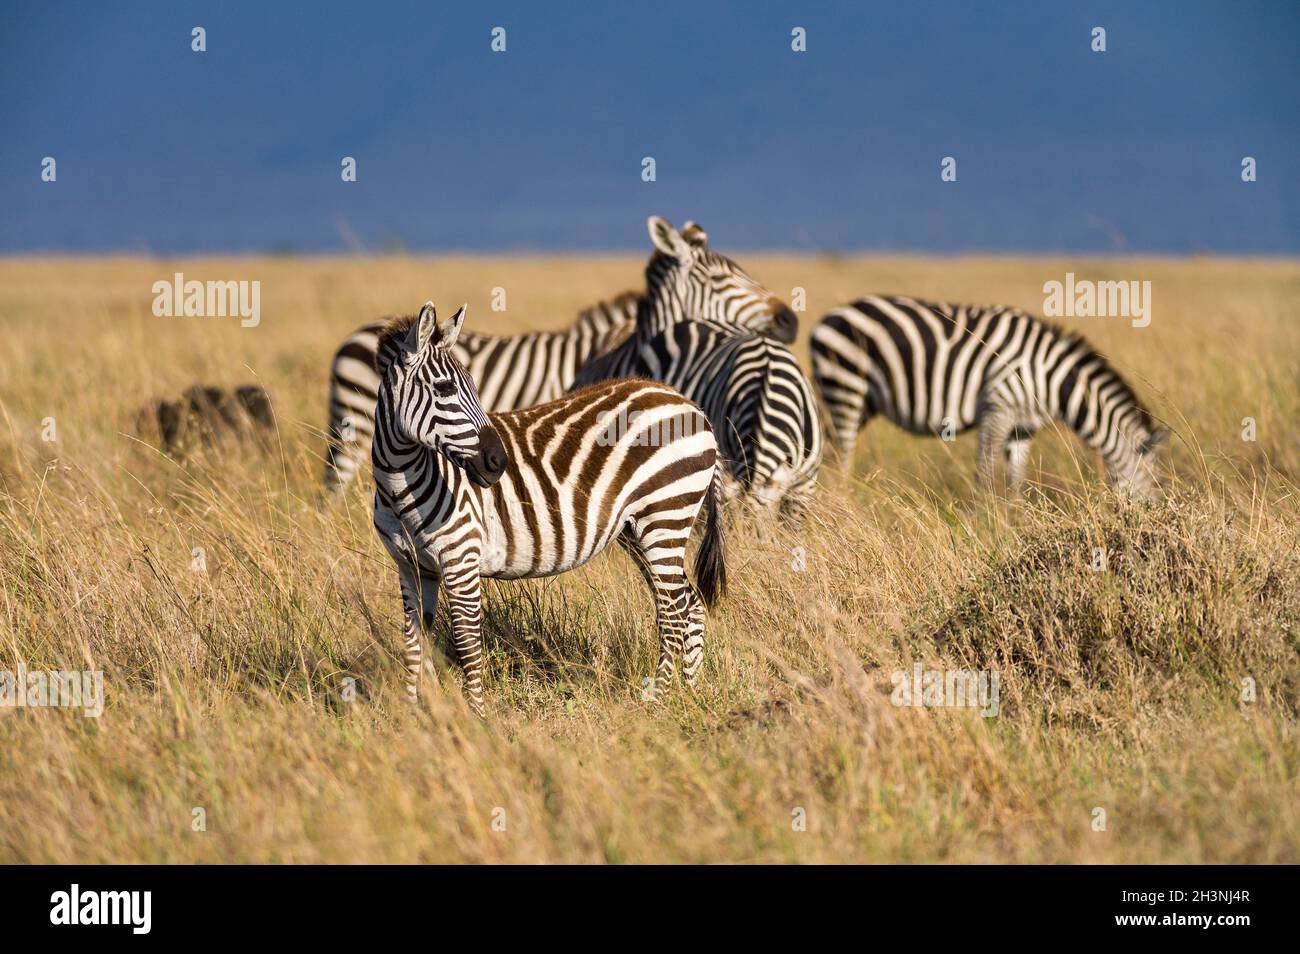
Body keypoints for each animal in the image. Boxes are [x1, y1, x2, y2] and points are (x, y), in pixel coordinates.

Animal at [372, 301, 727, 716]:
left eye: (474, 387)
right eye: (444, 389)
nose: (497, 462)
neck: (400, 488)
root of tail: (691, 405)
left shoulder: (461, 560)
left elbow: (467, 646)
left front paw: (476, 717)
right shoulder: (412, 567)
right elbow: (415, 643)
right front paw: (414, 713)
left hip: (666, 515)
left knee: (672, 614)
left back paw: (659, 700)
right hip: (640, 529)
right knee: (689, 606)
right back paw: (690, 694)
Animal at [809, 295, 1167, 499]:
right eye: (1154, 482)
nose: (1154, 519)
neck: (1050, 379)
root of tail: (827, 317)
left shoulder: (1023, 427)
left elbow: (1016, 481)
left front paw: (1018, 522)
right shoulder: (998, 410)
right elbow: (984, 474)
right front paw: (980, 524)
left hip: (861, 401)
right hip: (846, 386)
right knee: (841, 458)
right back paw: (842, 508)